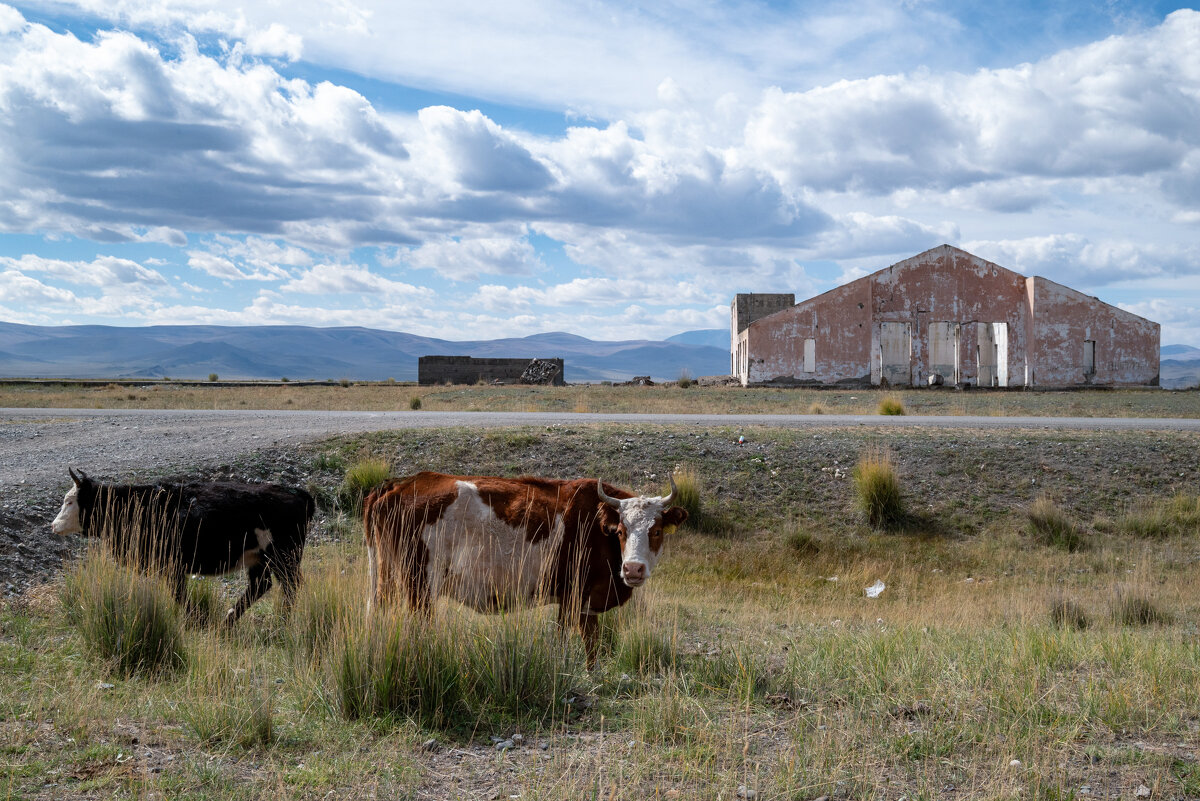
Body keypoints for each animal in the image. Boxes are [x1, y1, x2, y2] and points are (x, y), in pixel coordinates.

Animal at [52, 470, 314, 623]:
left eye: (70, 501)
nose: (54, 525)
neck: (138, 506)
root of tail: (296, 493)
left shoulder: (173, 566)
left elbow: (179, 595)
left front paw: (196, 621)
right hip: (260, 558)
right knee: (261, 585)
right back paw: (228, 620)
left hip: (283, 557)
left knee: (290, 586)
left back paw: (281, 620)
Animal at [360, 472, 691, 666]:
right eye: (621, 531)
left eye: (656, 531)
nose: (633, 569)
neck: (597, 528)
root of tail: (400, 484)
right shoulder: (571, 596)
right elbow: (564, 639)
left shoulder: (586, 602)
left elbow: (592, 643)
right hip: (420, 585)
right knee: (420, 627)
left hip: (385, 579)